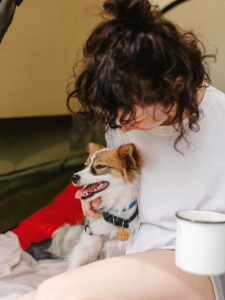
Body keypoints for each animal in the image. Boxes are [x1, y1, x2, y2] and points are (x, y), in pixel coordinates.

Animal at [48, 142, 143, 270]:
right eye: (85, 165)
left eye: (100, 166)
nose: (74, 177)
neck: (109, 214)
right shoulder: (83, 248)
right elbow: (72, 267)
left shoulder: (116, 249)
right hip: (70, 234)